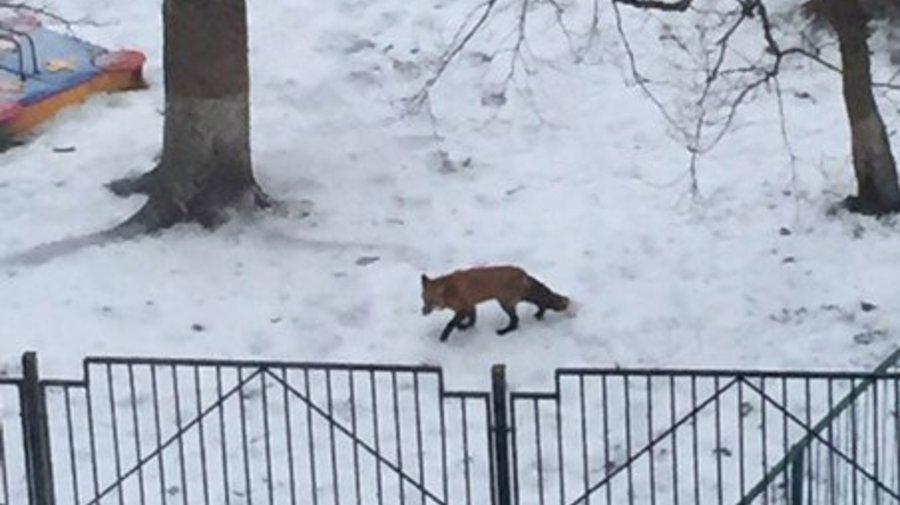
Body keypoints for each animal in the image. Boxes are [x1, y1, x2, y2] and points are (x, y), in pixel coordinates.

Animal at [420, 265, 571, 342]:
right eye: (423, 298)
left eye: (432, 301)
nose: (423, 312)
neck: (450, 290)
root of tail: (523, 273)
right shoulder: (470, 305)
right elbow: (472, 320)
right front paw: (466, 327)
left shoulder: (463, 308)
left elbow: (451, 323)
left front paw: (444, 337)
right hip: (520, 298)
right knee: (542, 302)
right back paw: (539, 314)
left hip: (505, 303)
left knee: (516, 321)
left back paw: (505, 331)